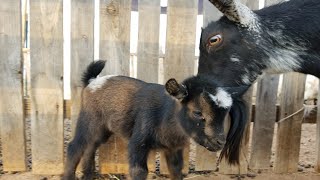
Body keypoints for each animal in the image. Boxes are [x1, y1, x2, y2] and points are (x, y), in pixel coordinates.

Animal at [63, 60, 248, 180]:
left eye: (225, 113)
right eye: (197, 112)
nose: (220, 142)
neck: (165, 117)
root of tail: (93, 82)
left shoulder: (174, 148)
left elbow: (176, 170)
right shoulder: (138, 144)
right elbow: (139, 171)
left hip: (102, 128)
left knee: (91, 146)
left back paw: (88, 176)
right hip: (89, 118)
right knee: (75, 146)